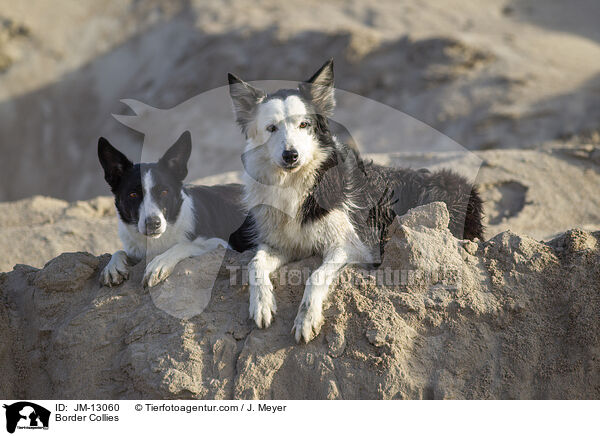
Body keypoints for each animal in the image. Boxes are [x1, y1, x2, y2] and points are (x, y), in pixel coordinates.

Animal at [98, 133, 251, 290]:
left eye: (164, 192)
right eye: (133, 194)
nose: (153, 223)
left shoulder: (222, 245)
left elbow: (186, 244)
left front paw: (160, 263)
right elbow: (119, 251)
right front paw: (112, 267)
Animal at [227, 58, 486, 344]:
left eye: (304, 125)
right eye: (271, 128)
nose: (290, 155)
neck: (294, 183)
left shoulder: (354, 245)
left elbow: (316, 275)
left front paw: (306, 319)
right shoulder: (283, 244)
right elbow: (255, 262)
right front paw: (261, 304)